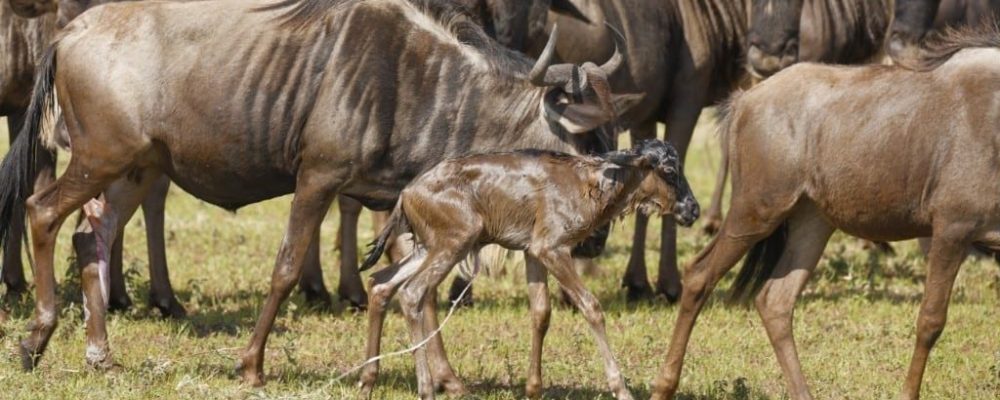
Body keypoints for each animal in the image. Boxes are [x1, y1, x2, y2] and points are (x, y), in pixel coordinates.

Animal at [358, 139, 696, 398]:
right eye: (669, 171)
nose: (693, 209)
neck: (591, 183)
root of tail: (407, 194)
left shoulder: (533, 253)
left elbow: (541, 313)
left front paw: (534, 388)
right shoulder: (552, 249)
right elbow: (591, 306)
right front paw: (621, 388)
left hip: (429, 247)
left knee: (381, 283)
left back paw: (367, 380)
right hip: (454, 242)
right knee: (412, 293)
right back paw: (426, 388)